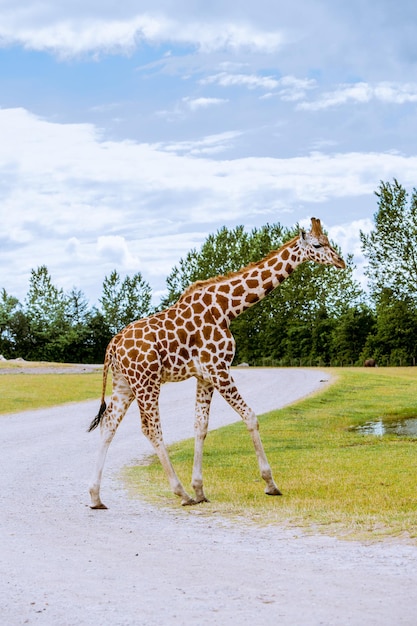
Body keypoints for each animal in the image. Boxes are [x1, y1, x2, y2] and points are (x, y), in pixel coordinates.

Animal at [88, 217, 344, 504]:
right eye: (317, 244)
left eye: (328, 241)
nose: (341, 262)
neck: (227, 308)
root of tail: (112, 345)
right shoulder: (219, 368)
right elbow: (250, 417)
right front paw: (270, 483)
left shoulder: (205, 375)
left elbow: (200, 426)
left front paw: (200, 489)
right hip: (146, 381)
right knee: (150, 428)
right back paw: (180, 492)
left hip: (125, 383)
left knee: (109, 423)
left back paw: (96, 497)